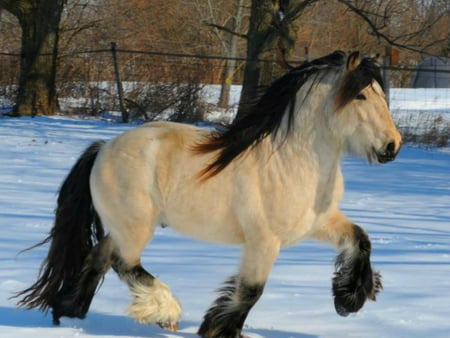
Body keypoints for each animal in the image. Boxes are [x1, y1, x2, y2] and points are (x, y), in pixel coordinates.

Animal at [15, 50, 400, 338]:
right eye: (361, 95)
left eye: (382, 95)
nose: (392, 147)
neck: (292, 161)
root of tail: (102, 149)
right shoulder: (264, 242)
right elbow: (251, 290)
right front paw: (218, 329)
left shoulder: (319, 223)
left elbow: (361, 239)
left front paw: (351, 298)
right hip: (136, 226)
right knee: (123, 262)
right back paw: (165, 312)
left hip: (122, 226)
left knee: (98, 258)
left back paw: (69, 313)